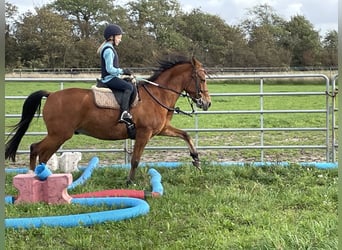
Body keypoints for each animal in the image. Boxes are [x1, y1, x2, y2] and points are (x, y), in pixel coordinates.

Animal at [5, 55, 211, 184]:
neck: (157, 94)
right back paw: (35, 177)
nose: (207, 103)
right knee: (37, 149)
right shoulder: (144, 134)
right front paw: (129, 181)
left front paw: (196, 160)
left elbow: (186, 135)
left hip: (58, 136)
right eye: (202, 79)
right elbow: (135, 159)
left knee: (41, 153)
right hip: (59, 135)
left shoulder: (161, 130)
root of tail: (52, 94)